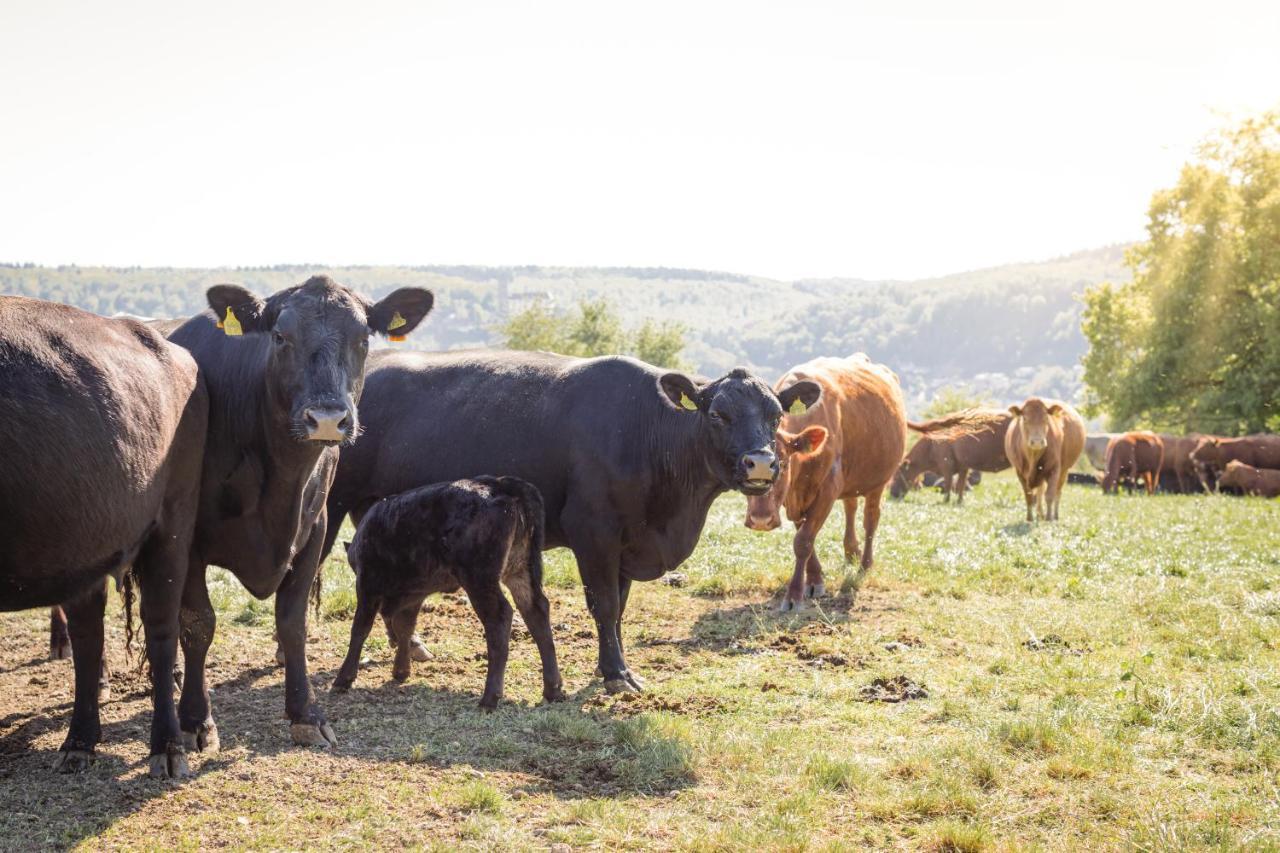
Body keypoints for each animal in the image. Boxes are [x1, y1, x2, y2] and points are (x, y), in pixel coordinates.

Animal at [1, 295, 207, 773]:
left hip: (171, 527)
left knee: (162, 628)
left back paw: (167, 746)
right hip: (82, 550)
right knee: (88, 637)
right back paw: (79, 739)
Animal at [168, 277, 435, 753]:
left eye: (363, 338)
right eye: (280, 336)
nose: (326, 418)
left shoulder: (314, 529)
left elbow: (293, 623)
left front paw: (305, 713)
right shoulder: (189, 539)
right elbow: (198, 624)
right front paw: (196, 720)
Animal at [332, 473, 563, 706]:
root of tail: (498, 483)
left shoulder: (368, 584)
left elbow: (361, 629)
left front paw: (344, 678)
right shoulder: (414, 595)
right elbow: (405, 626)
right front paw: (401, 670)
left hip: (479, 578)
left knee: (500, 617)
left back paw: (489, 698)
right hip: (520, 570)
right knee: (536, 610)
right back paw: (552, 689)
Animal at [742, 356, 911, 607]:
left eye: (782, 464)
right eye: (746, 464)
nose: (760, 520)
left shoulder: (827, 490)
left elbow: (803, 541)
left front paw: (794, 594)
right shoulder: (793, 499)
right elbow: (806, 539)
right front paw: (814, 579)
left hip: (878, 482)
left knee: (870, 519)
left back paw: (864, 565)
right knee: (851, 507)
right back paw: (851, 552)